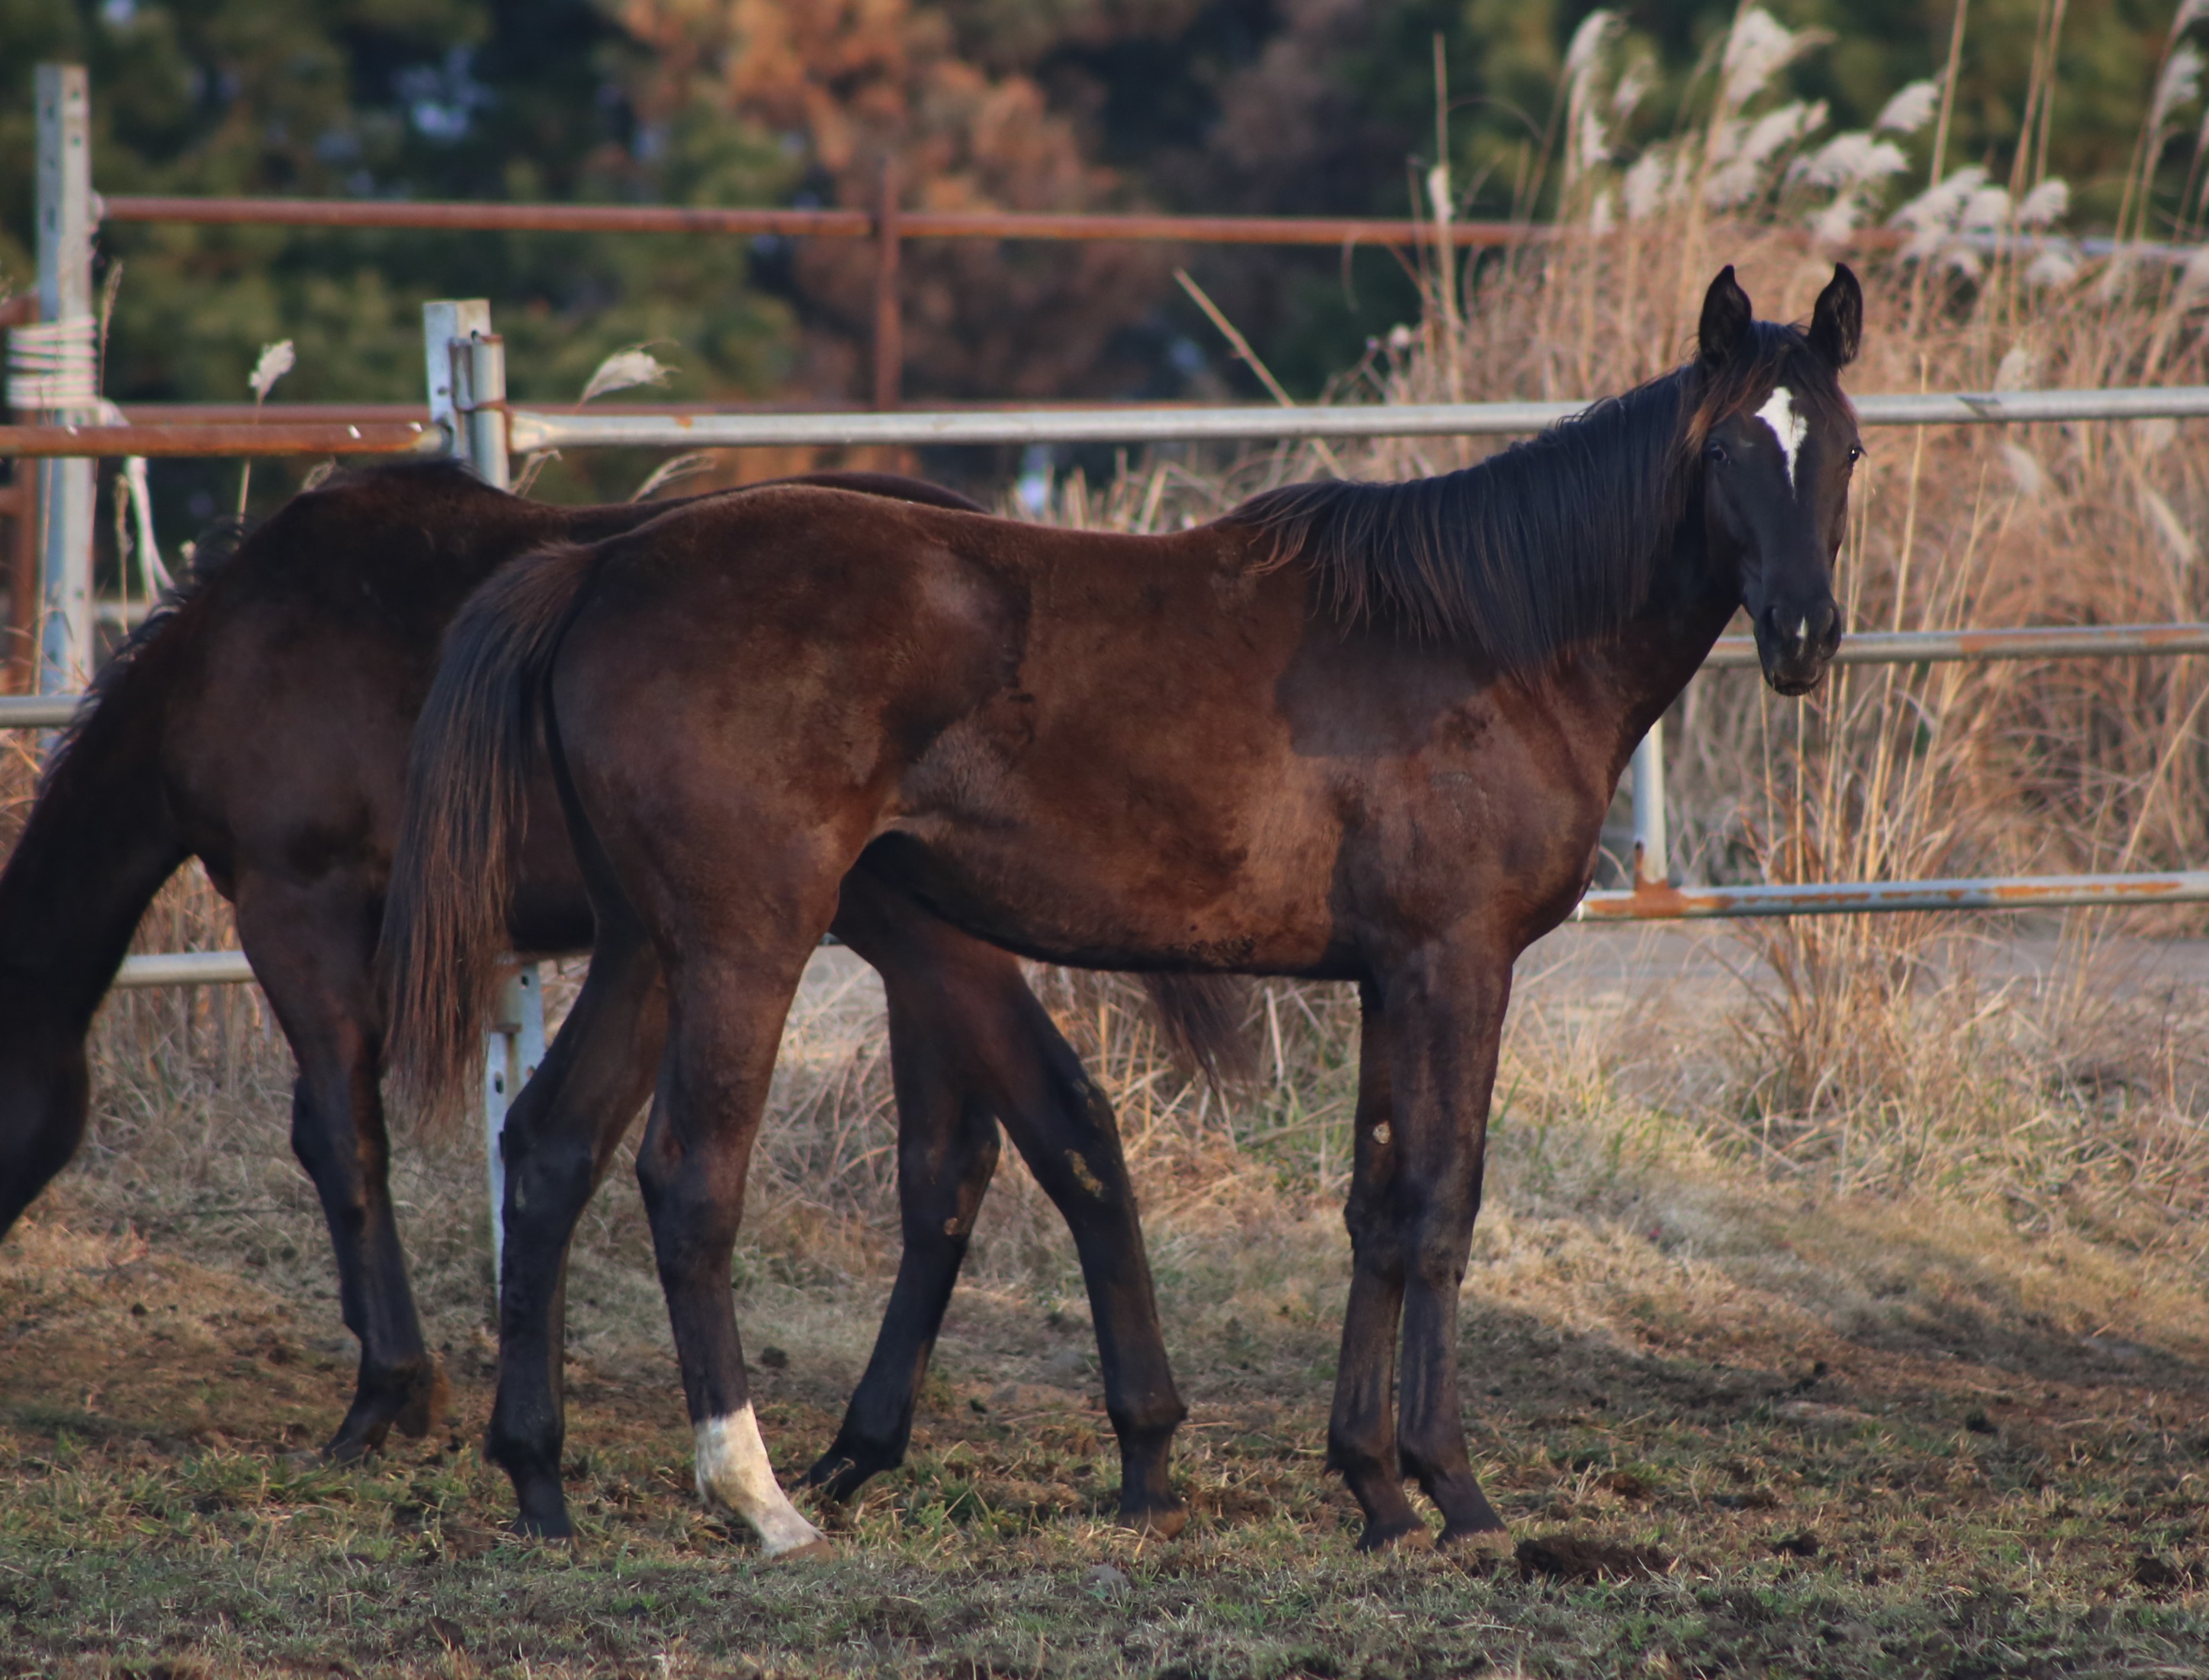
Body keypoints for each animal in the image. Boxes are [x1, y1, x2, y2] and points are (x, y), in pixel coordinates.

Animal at [0, 459, 1228, 1536]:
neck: (230, 656)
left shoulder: (294, 909)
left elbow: (342, 1139)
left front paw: (386, 1395)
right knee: (953, 1162)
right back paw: (857, 1452)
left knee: (980, 1149)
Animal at [384, 265, 1864, 1545]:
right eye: (1728, 453)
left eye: (1842, 451)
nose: (1803, 633)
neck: (1484, 638)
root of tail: (601, 570)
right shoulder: (1456, 964)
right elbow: (1442, 1202)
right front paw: (1453, 1488)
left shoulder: (1390, 975)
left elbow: (1377, 1207)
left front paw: (1373, 1485)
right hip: (741, 943)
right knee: (689, 1178)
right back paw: (762, 1499)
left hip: (648, 945)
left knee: (552, 1148)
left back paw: (539, 1479)